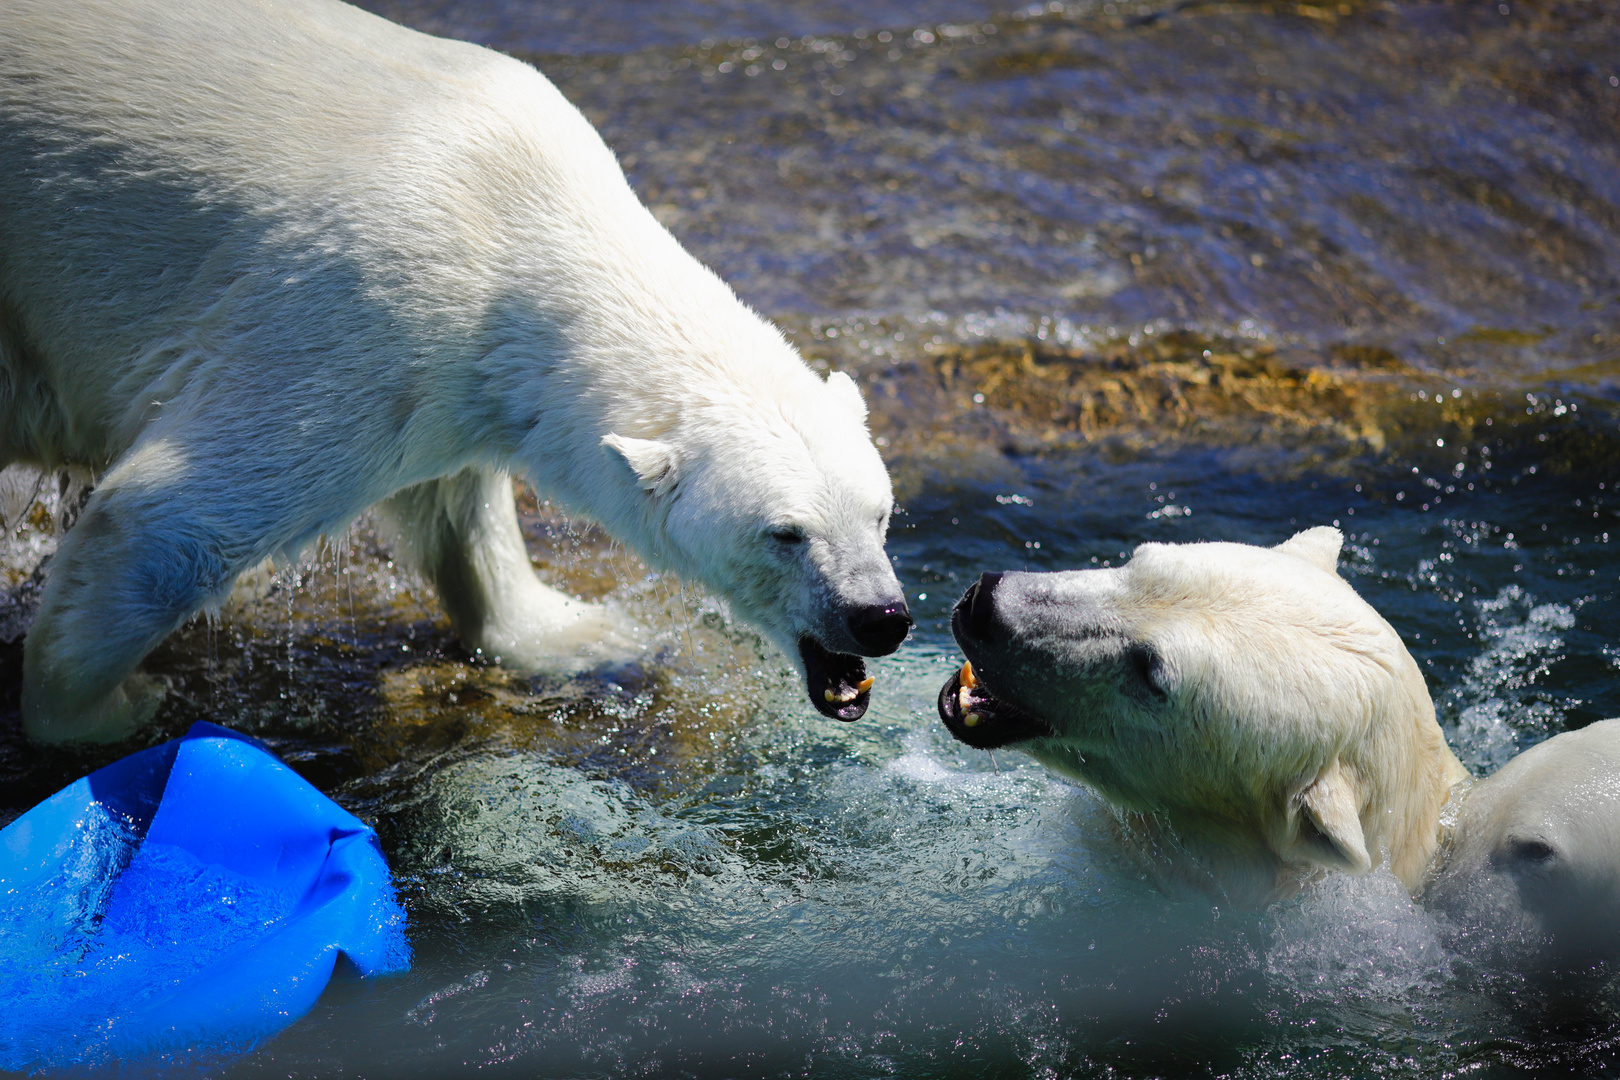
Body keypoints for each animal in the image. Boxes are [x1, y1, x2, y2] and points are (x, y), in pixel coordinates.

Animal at [0, 0, 913, 744]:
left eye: (881, 514)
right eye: (784, 533)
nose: (879, 617)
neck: (520, 209)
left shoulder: (446, 370)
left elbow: (454, 504)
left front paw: (582, 634)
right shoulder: (357, 308)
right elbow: (165, 515)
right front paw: (110, 706)